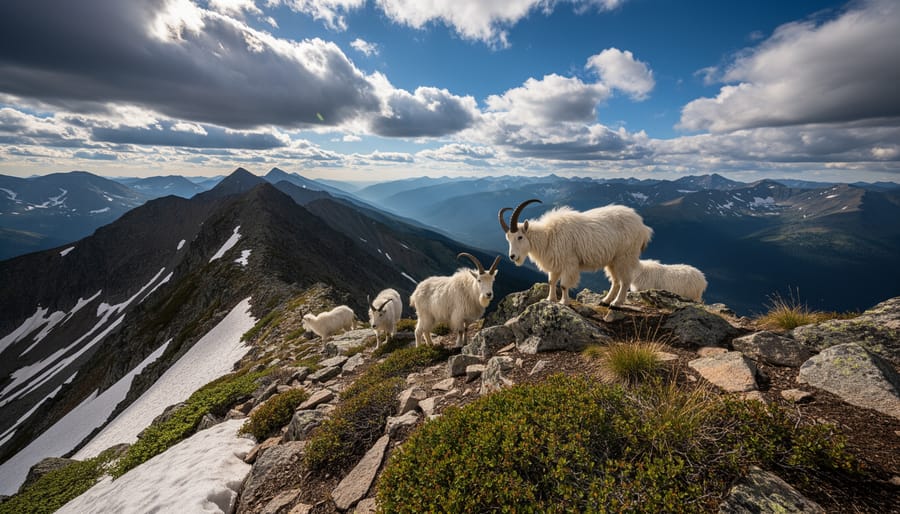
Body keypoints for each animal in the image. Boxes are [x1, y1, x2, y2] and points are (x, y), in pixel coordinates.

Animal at [499, 199, 652, 306]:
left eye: (520, 237)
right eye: (508, 238)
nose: (512, 256)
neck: (548, 236)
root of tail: (643, 227)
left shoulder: (569, 263)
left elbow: (564, 284)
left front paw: (564, 302)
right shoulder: (555, 264)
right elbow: (551, 281)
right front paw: (550, 299)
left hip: (625, 256)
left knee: (625, 280)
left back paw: (616, 303)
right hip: (612, 261)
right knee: (616, 281)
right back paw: (605, 301)